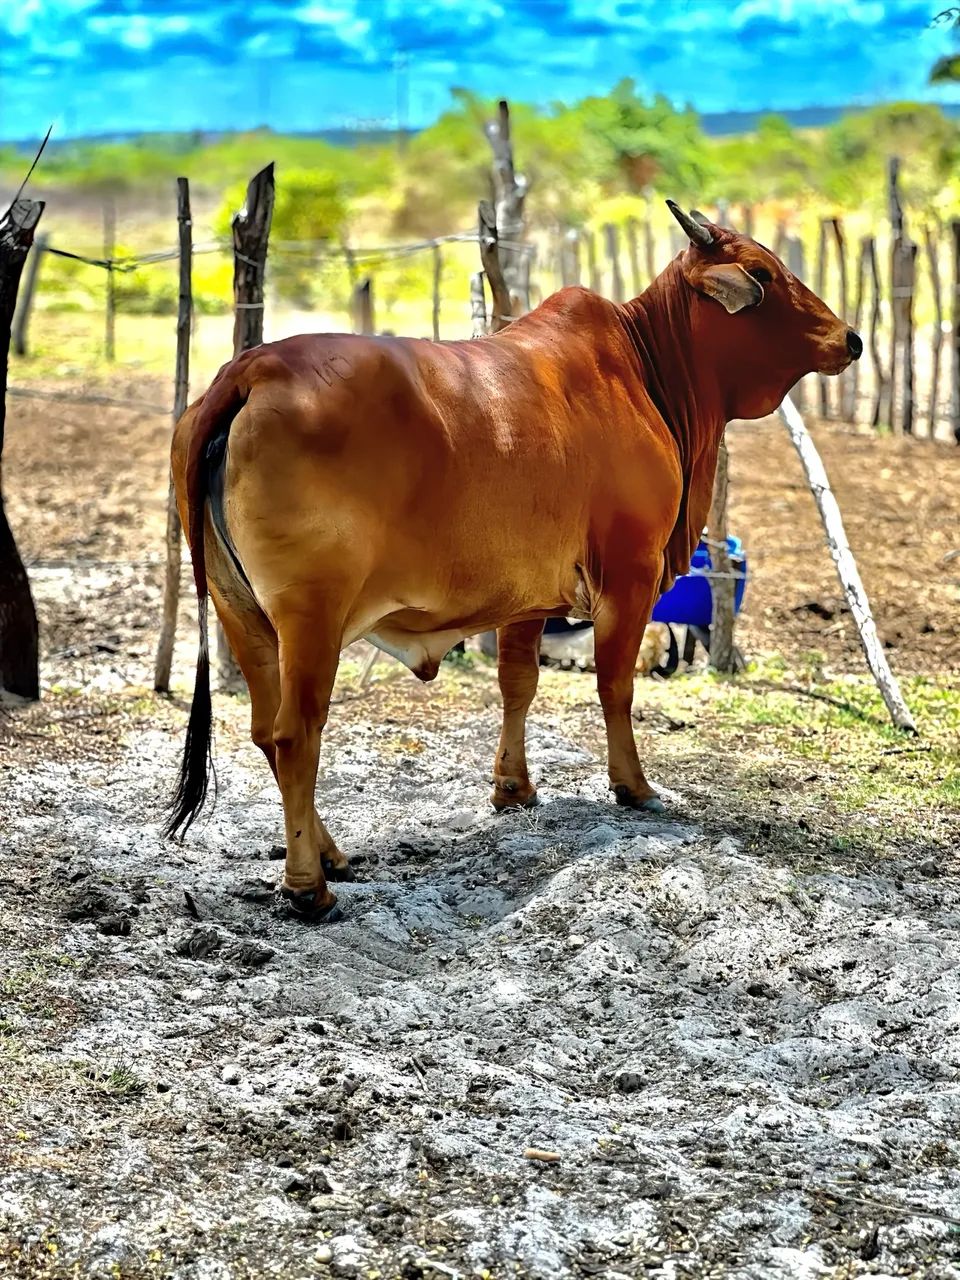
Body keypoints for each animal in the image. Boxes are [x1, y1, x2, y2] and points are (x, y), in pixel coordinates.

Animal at [165, 202, 860, 923]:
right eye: (762, 272)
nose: (851, 339)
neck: (647, 367)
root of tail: (251, 370)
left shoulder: (528, 598)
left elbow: (517, 685)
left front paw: (513, 787)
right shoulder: (630, 574)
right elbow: (616, 687)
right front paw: (634, 785)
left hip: (240, 612)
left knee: (262, 731)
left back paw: (331, 854)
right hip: (312, 617)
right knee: (295, 736)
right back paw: (310, 885)